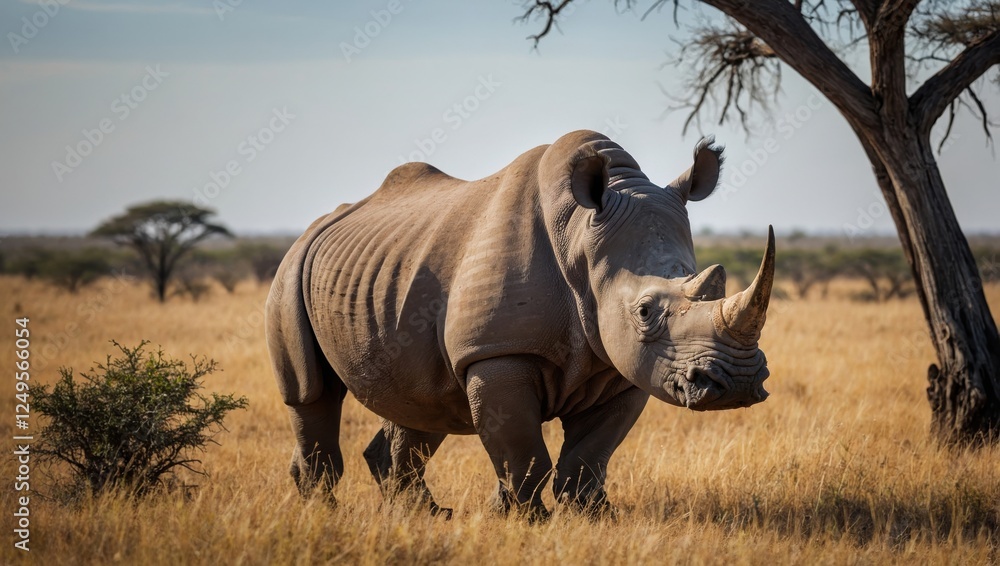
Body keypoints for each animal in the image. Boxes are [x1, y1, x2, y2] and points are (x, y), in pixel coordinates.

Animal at [265, 130, 774, 519]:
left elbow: (588, 458)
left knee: (423, 404)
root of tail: (321, 223)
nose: (737, 384)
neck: (582, 240)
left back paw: (426, 515)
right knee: (311, 393)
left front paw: (592, 518)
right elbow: (524, 455)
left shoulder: (626, 366)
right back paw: (322, 512)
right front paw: (526, 520)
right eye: (645, 311)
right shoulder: (497, 352)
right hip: (290, 270)